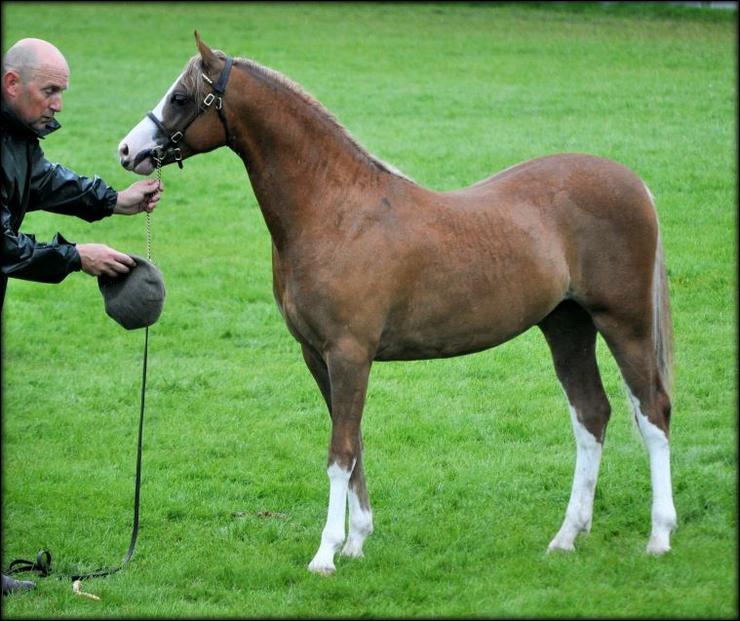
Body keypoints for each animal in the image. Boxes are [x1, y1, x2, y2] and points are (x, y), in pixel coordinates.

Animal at [120, 32, 676, 576]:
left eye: (181, 97)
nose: (128, 151)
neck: (335, 212)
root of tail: (637, 185)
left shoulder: (350, 354)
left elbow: (341, 451)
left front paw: (326, 554)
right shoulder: (317, 356)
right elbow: (354, 443)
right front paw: (356, 541)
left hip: (623, 323)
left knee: (652, 411)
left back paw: (659, 537)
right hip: (567, 326)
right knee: (591, 414)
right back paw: (566, 537)